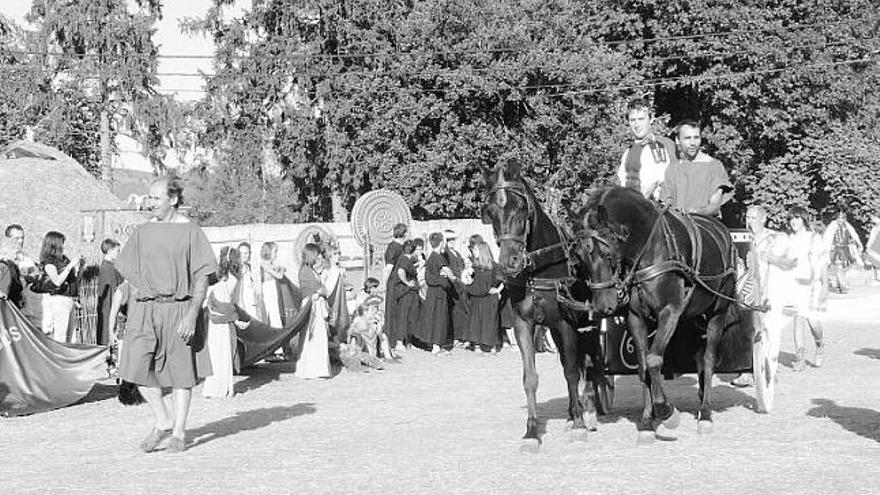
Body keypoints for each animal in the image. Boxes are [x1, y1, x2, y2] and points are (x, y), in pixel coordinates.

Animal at [482, 159, 612, 454]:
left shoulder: (565, 322)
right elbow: (530, 377)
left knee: (591, 361)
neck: (539, 268)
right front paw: (532, 431)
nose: (509, 262)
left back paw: (589, 409)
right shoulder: (524, 325)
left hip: (589, 321)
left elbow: (572, 371)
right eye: (491, 211)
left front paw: (579, 424)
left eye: (520, 207)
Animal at [576, 187, 740, 442]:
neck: (649, 249)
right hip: (694, 318)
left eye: (605, 252)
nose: (603, 306)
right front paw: (646, 422)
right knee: (699, 358)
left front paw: (666, 412)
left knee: (709, 358)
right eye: (580, 257)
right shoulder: (635, 318)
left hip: (718, 311)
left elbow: (654, 360)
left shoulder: (670, 312)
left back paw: (705, 413)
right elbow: (644, 366)